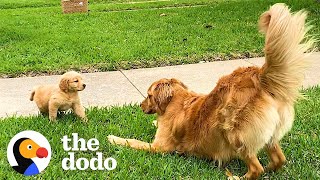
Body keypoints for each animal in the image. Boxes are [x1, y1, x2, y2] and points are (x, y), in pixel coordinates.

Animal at [107, 3, 316, 179]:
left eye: (148, 95)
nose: (140, 106)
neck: (175, 102)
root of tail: (258, 76)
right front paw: (153, 122)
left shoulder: (160, 147)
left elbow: (133, 141)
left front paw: (114, 138)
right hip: (269, 136)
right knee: (279, 160)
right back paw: (271, 169)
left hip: (233, 132)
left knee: (257, 168)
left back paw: (237, 177)